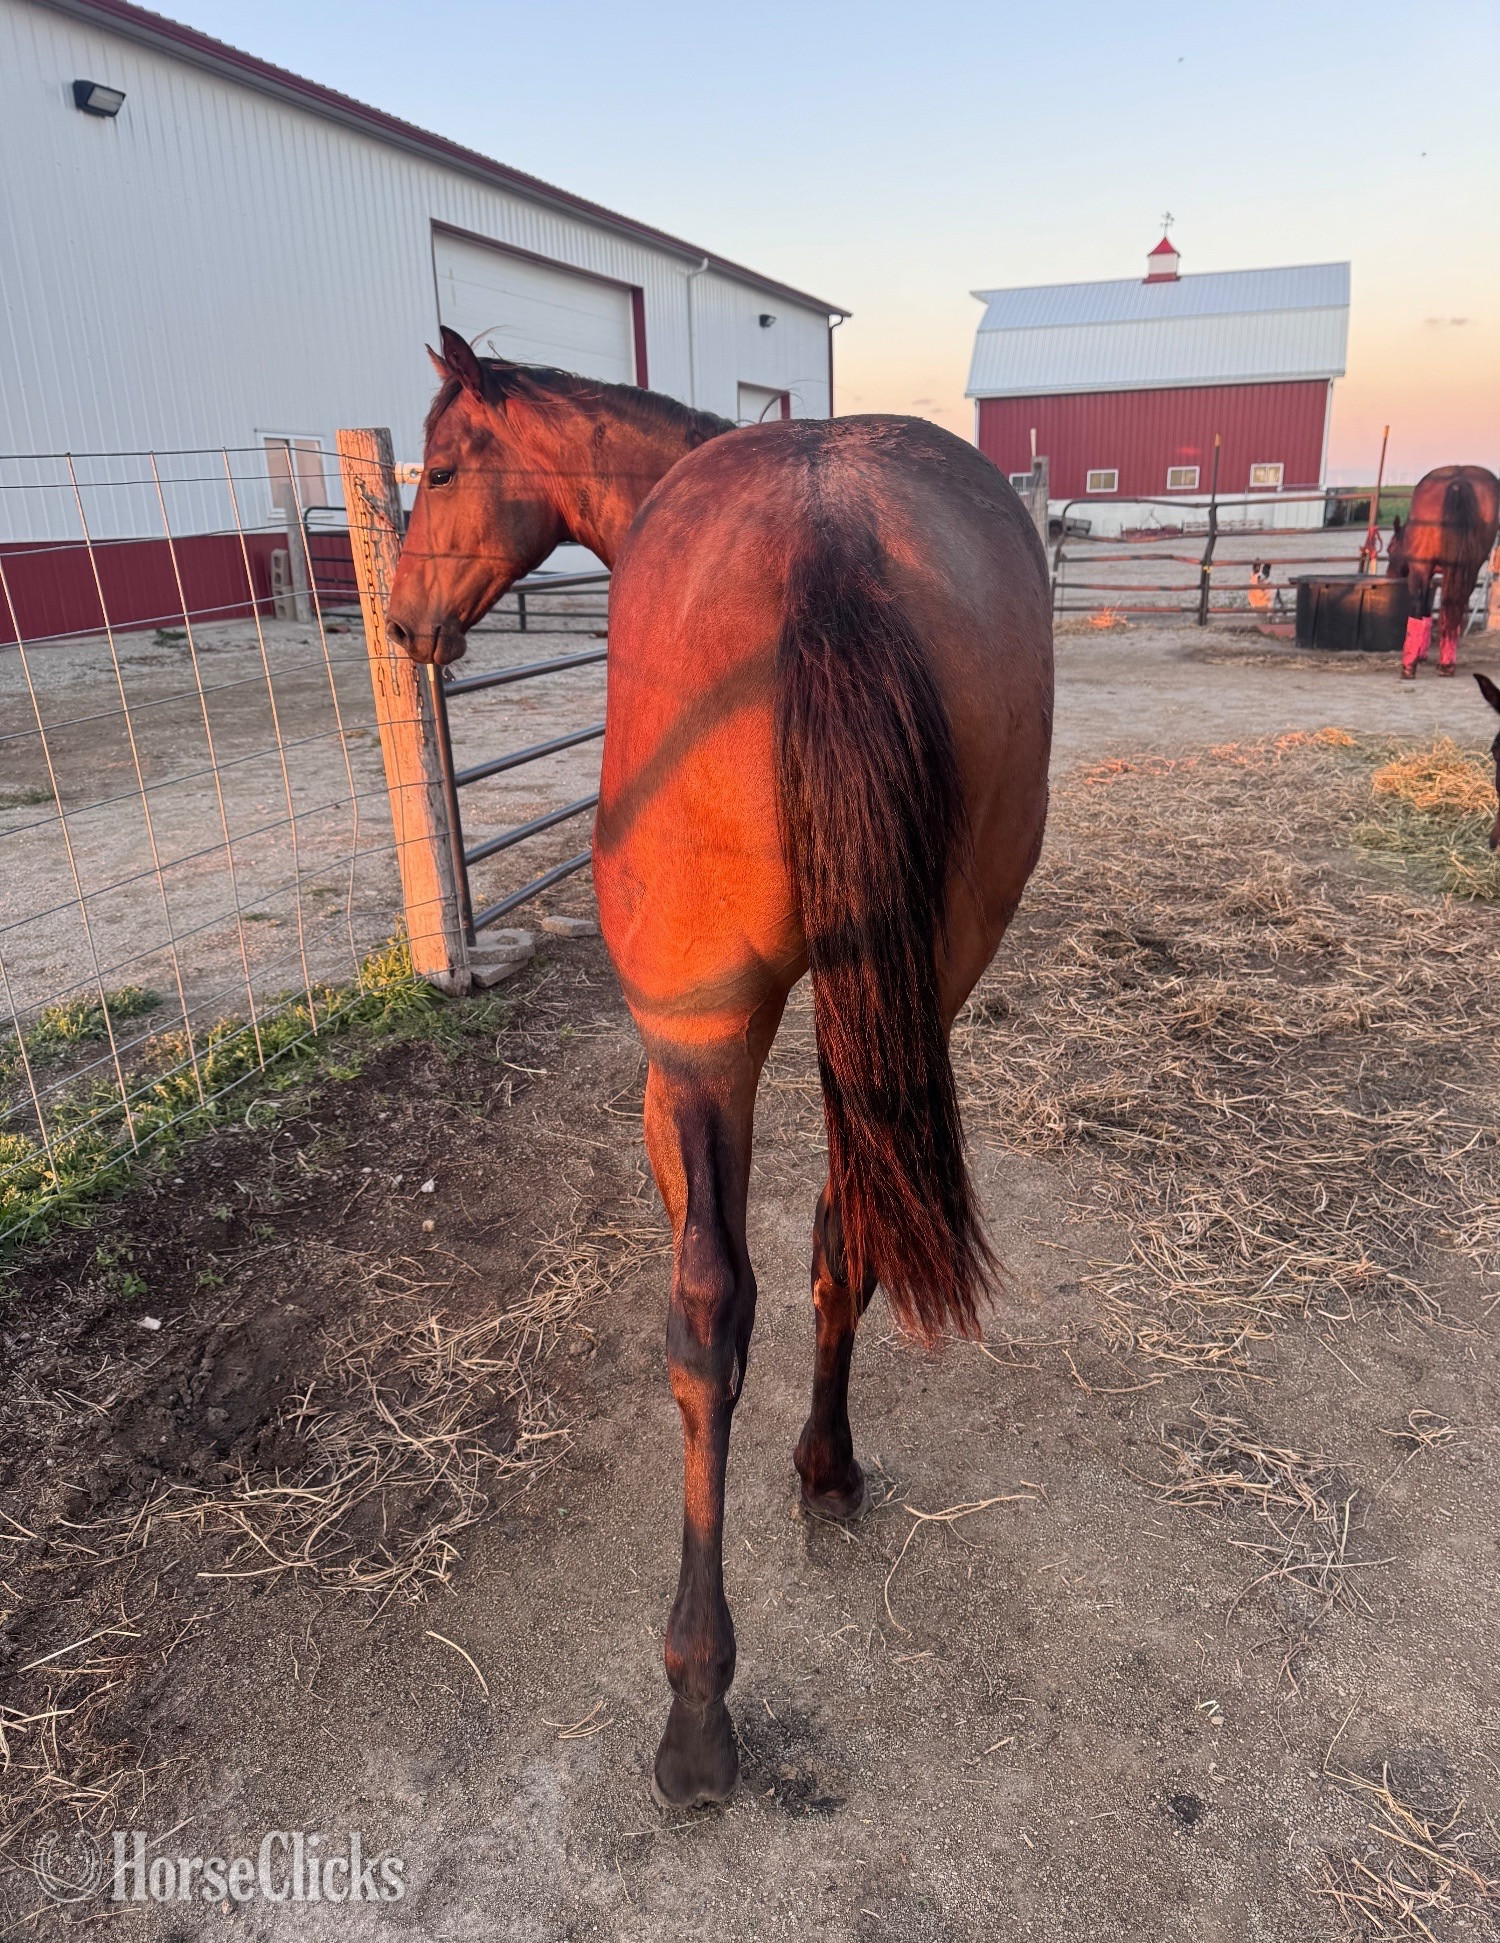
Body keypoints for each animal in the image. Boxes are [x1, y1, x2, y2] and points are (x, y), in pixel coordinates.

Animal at [387, 327, 1054, 1809]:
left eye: (443, 466)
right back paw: (827, 1467)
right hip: (914, 993)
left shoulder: (673, 1073)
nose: (402, 623)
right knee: (847, 1221)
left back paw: (697, 1702)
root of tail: (829, 535)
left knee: (706, 1317)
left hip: (697, 1039)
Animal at [1388, 465, 1499, 678]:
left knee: (1419, 607)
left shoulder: (1425, 571)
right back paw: (1447, 664)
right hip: (1467, 570)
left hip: (1422, 568)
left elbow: (1424, 608)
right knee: (1454, 608)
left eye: (1390, 549)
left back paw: (1408, 667)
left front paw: (1419, 655)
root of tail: (1458, 483)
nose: (1390, 575)